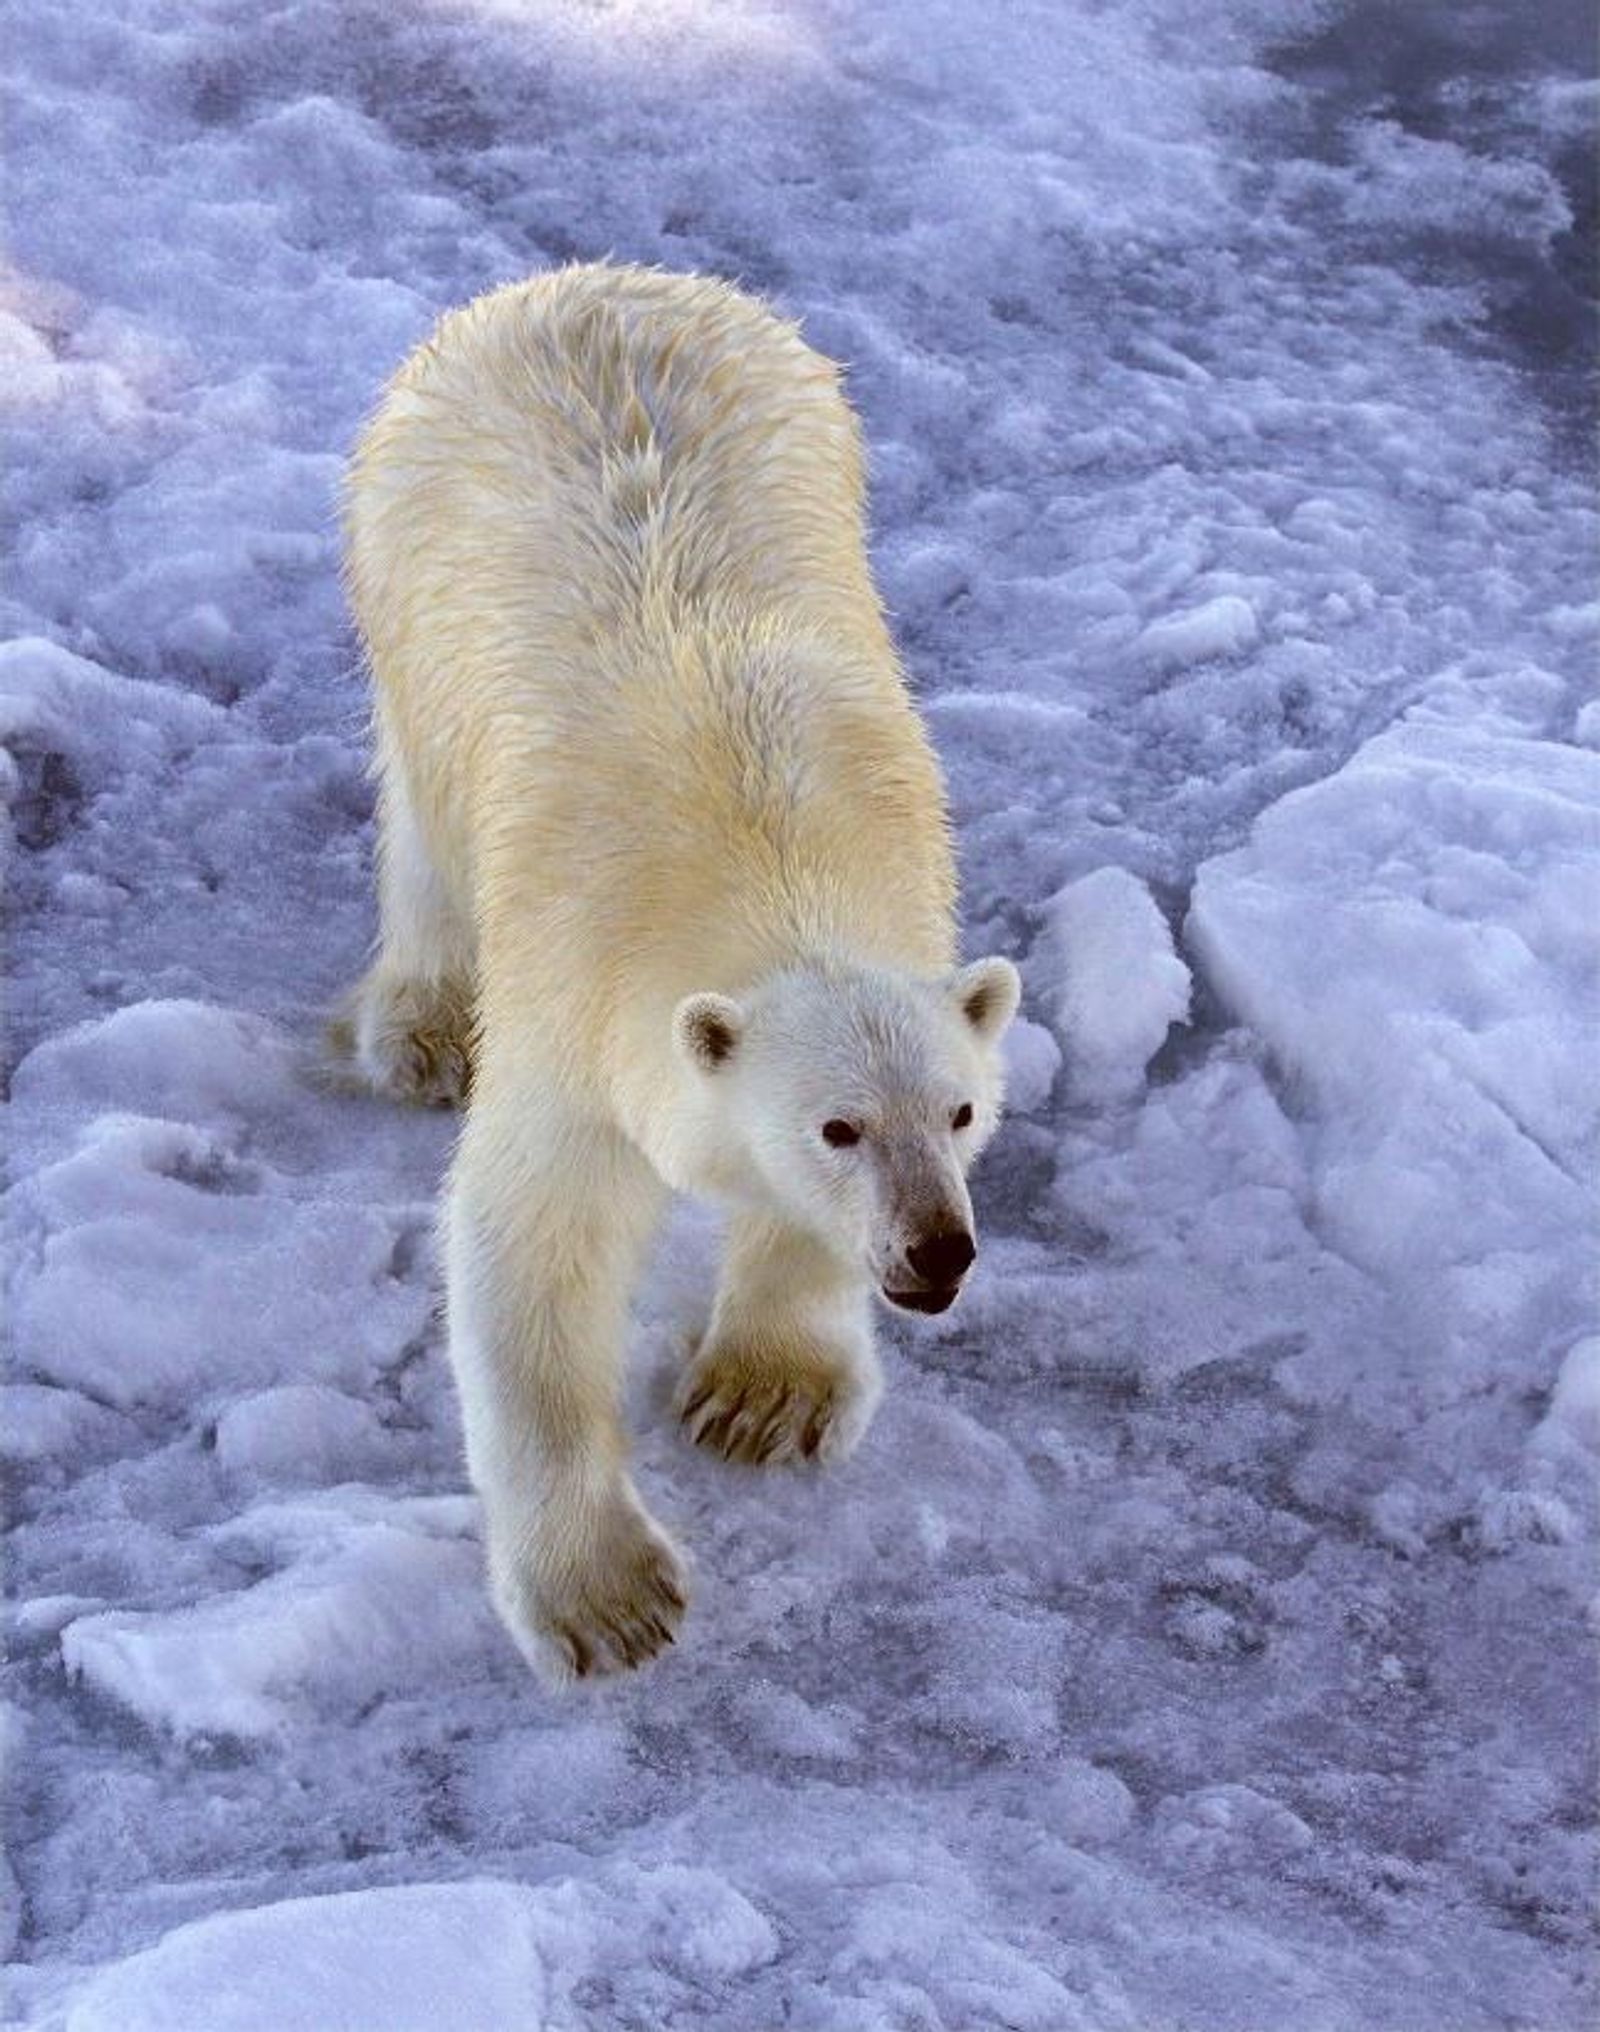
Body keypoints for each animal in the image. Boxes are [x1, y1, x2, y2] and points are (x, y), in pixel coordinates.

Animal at [338, 263, 1020, 1681]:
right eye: (836, 1125)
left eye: (962, 1111)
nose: (937, 1252)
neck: (767, 850)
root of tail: (585, 280)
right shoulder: (577, 1006)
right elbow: (533, 1242)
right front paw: (605, 1599)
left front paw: (767, 1395)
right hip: (402, 560)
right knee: (420, 815)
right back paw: (421, 1026)